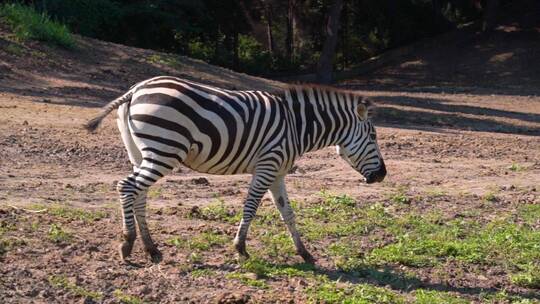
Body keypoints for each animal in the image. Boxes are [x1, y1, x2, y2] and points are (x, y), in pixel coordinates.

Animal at [85, 76, 384, 264]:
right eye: (373, 136)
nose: (382, 175)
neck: (296, 126)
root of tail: (135, 89)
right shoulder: (267, 166)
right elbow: (250, 206)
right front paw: (240, 248)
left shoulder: (278, 173)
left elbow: (288, 213)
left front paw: (305, 253)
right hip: (165, 150)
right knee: (126, 187)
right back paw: (127, 244)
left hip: (141, 153)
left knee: (140, 194)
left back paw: (151, 249)